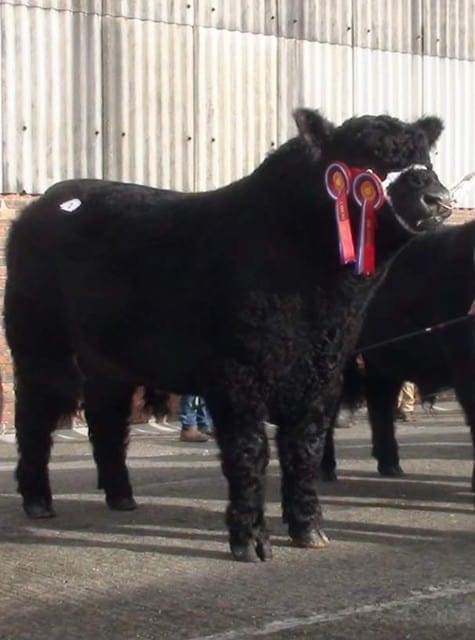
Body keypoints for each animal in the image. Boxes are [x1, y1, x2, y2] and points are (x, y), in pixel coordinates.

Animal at [4, 108, 450, 561]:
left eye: (425, 158)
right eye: (366, 157)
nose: (436, 197)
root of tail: (45, 202)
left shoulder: (322, 377)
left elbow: (303, 449)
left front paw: (309, 529)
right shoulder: (238, 376)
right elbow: (250, 452)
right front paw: (250, 541)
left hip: (108, 360)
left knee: (106, 417)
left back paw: (121, 496)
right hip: (40, 343)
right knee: (34, 415)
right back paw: (38, 500)